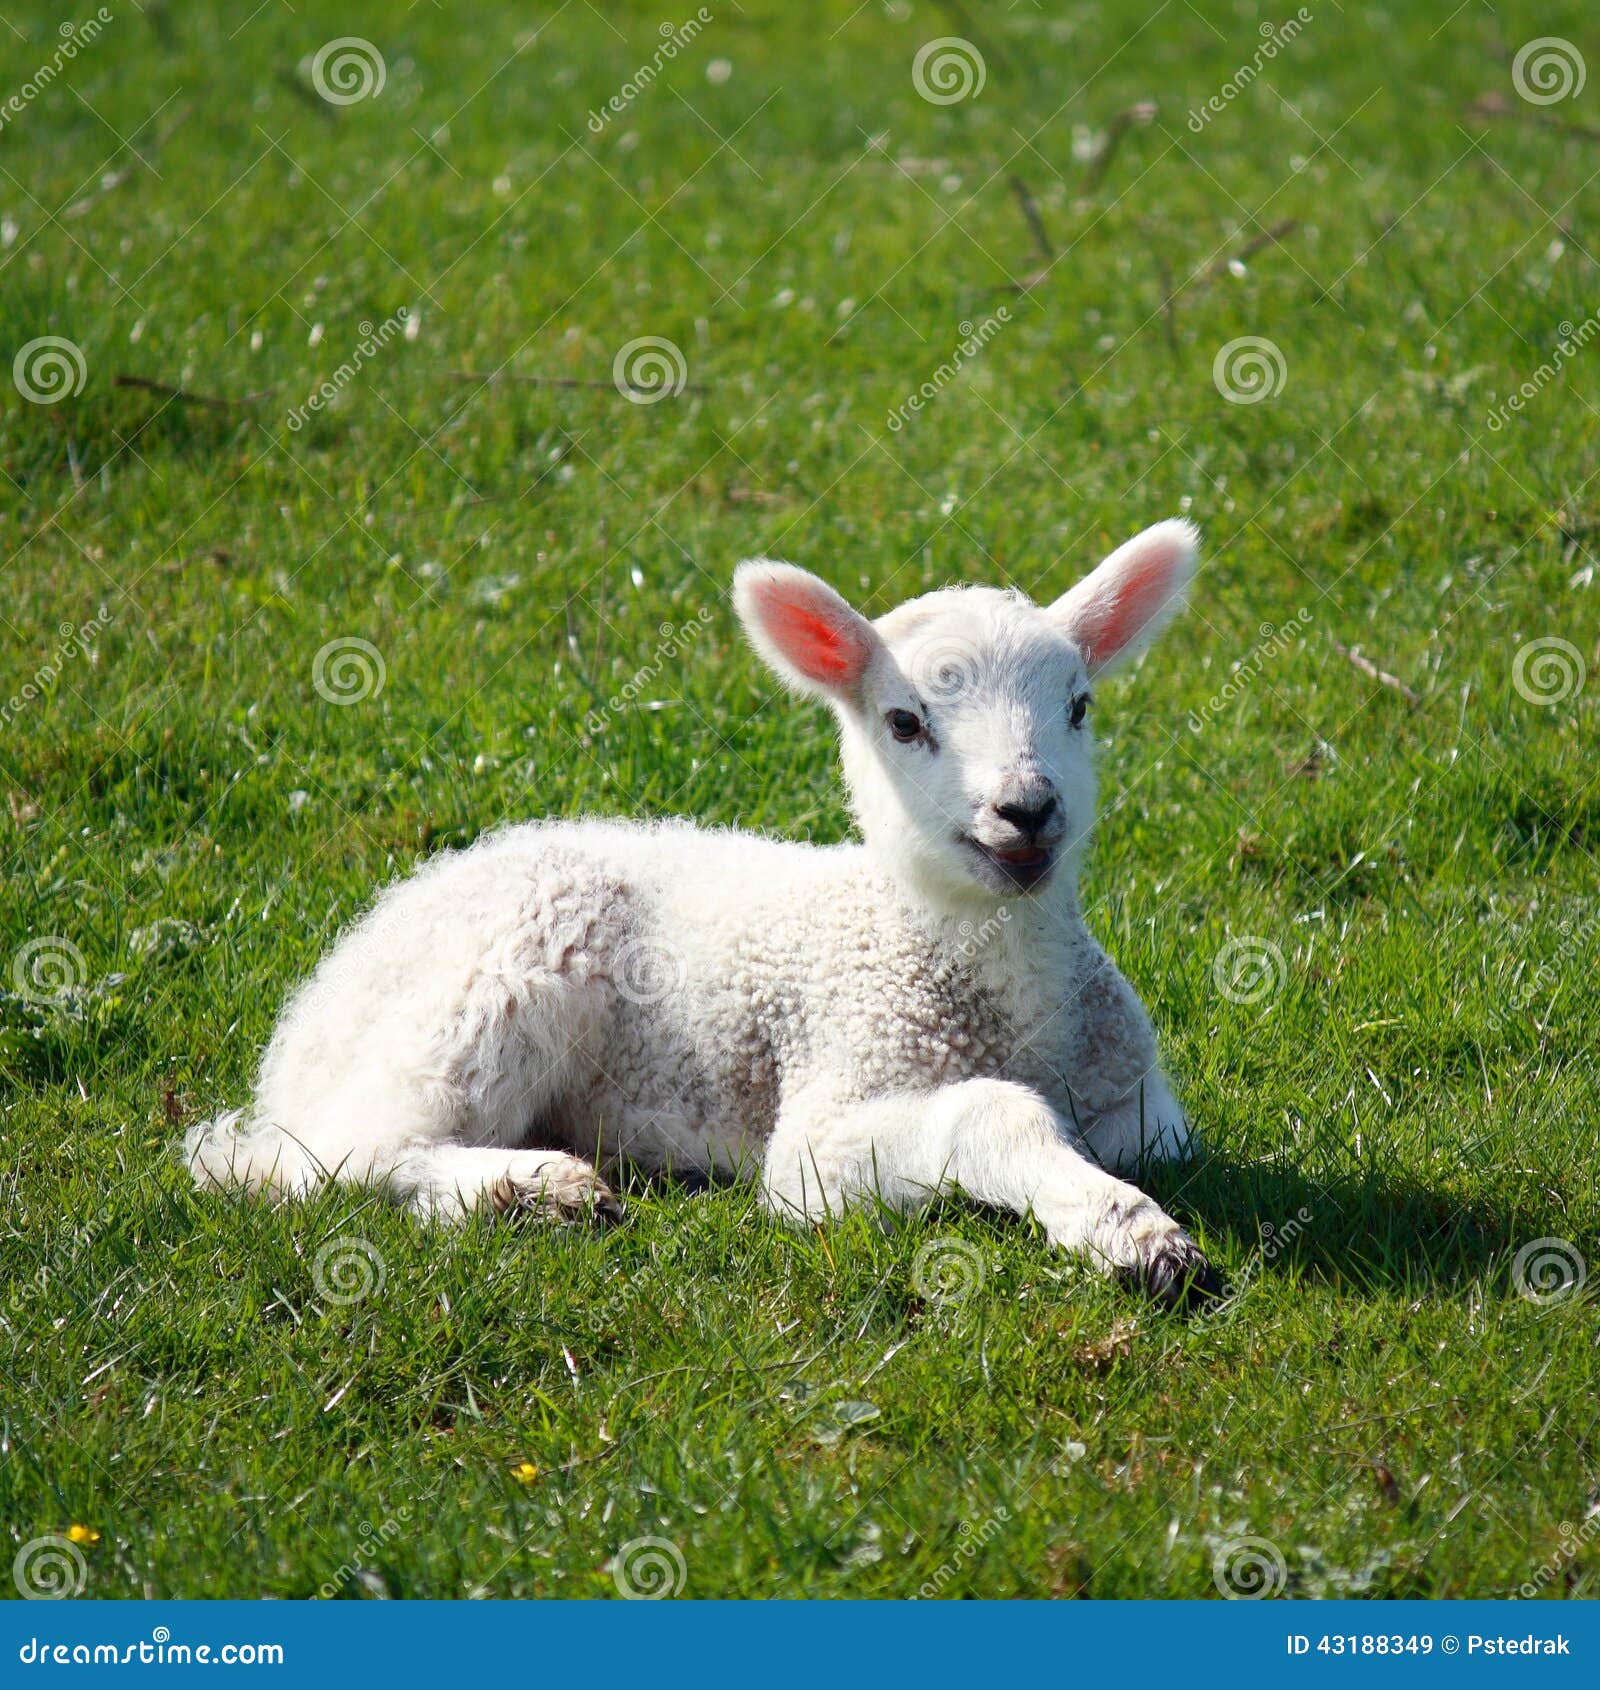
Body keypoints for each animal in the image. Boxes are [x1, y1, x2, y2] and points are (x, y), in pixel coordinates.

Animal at [187, 517, 1219, 1305]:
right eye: (905, 722)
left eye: (1079, 707)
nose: (1026, 809)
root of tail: (316, 1007)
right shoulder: (823, 1122)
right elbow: (987, 1115)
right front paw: (1128, 1231)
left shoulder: (1142, 1109)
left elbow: (1142, 1140)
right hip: (482, 988)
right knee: (327, 1160)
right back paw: (530, 1188)